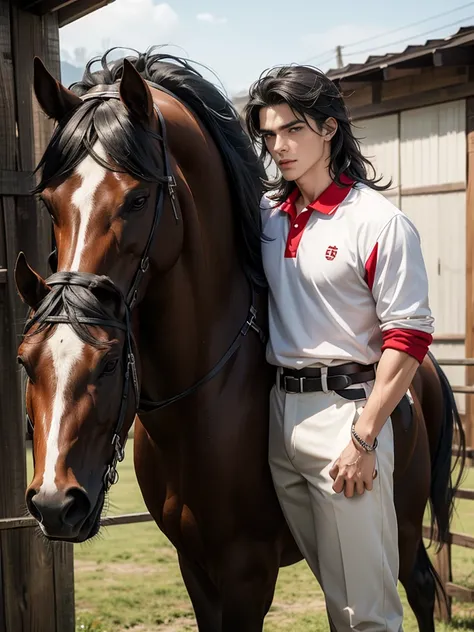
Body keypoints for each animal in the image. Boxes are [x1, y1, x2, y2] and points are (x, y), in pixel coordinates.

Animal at [15, 50, 466, 632]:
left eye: (136, 199)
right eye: (50, 202)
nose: (54, 502)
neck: (207, 400)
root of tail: (427, 367)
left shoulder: (247, 574)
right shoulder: (195, 567)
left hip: (403, 527)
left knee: (415, 589)